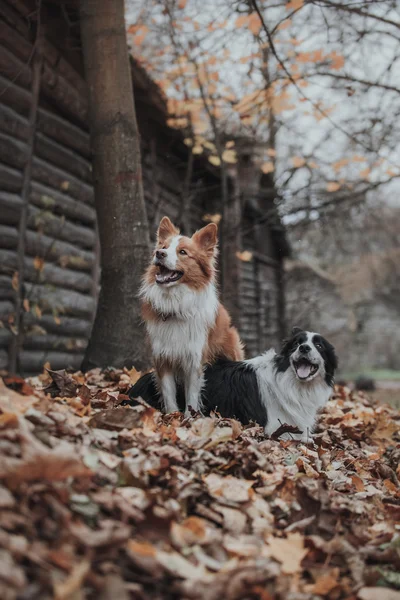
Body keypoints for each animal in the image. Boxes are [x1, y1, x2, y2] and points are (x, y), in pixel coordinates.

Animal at [141, 217, 244, 418]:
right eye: (163, 246)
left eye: (182, 252)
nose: (159, 253)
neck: (175, 304)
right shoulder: (162, 357)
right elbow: (168, 392)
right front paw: (172, 417)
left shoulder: (194, 358)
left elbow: (192, 395)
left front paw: (189, 419)